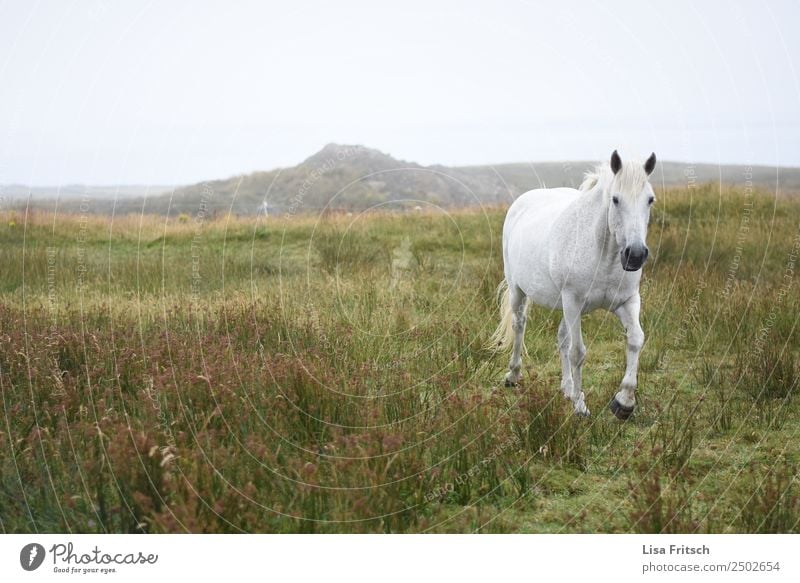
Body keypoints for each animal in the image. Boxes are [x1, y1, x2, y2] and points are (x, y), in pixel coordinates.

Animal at [494, 148, 656, 418]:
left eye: (650, 200)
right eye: (615, 199)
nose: (634, 255)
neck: (605, 256)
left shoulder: (627, 301)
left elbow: (635, 339)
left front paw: (624, 402)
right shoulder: (573, 301)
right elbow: (578, 352)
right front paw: (580, 407)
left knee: (562, 337)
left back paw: (567, 388)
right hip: (519, 290)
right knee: (519, 325)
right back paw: (514, 375)